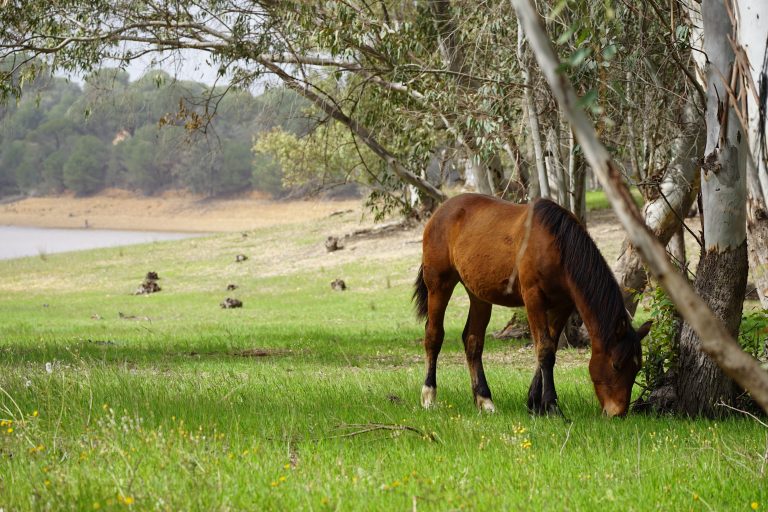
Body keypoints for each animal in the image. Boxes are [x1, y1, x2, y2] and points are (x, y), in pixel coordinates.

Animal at [414, 194, 648, 418]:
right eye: (616, 365)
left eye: (638, 368)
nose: (617, 413)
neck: (557, 246)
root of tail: (440, 212)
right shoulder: (533, 299)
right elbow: (544, 350)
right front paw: (551, 406)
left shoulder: (562, 306)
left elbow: (548, 349)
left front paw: (535, 404)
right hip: (439, 285)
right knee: (434, 335)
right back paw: (428, 396)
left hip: (478, 295)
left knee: (473, 341)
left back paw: (484, 400)